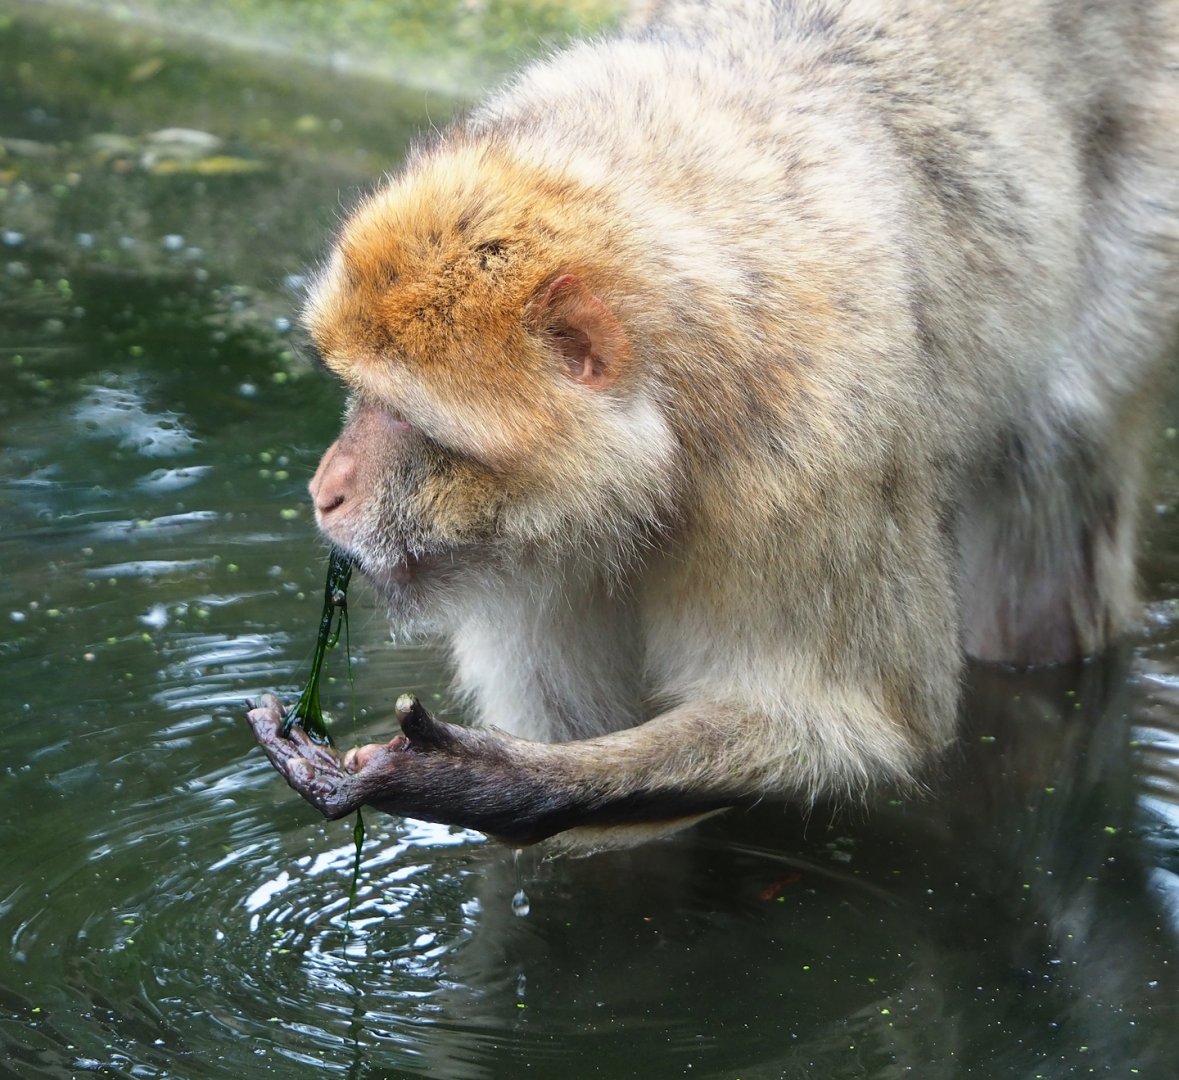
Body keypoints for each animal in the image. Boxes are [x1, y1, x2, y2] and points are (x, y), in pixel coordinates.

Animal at [248, 0, 1179, 851]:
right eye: (356, 393)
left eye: (403, 416)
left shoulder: (811, 466)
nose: (325, 491)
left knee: (1056, 454)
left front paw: (484, 780)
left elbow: (860, 725)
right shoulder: (531, 554)